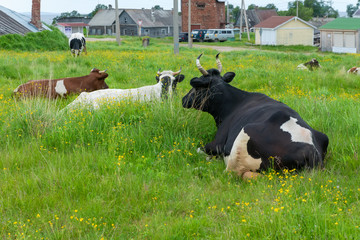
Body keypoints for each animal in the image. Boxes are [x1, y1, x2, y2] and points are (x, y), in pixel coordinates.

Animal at [183, 53, 330, 179]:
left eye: (197, 86)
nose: (184, 99)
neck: (232, 104)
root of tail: (311, 152)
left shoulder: (216, 144)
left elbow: (198, 149)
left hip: (241, 142)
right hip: (324, 137)